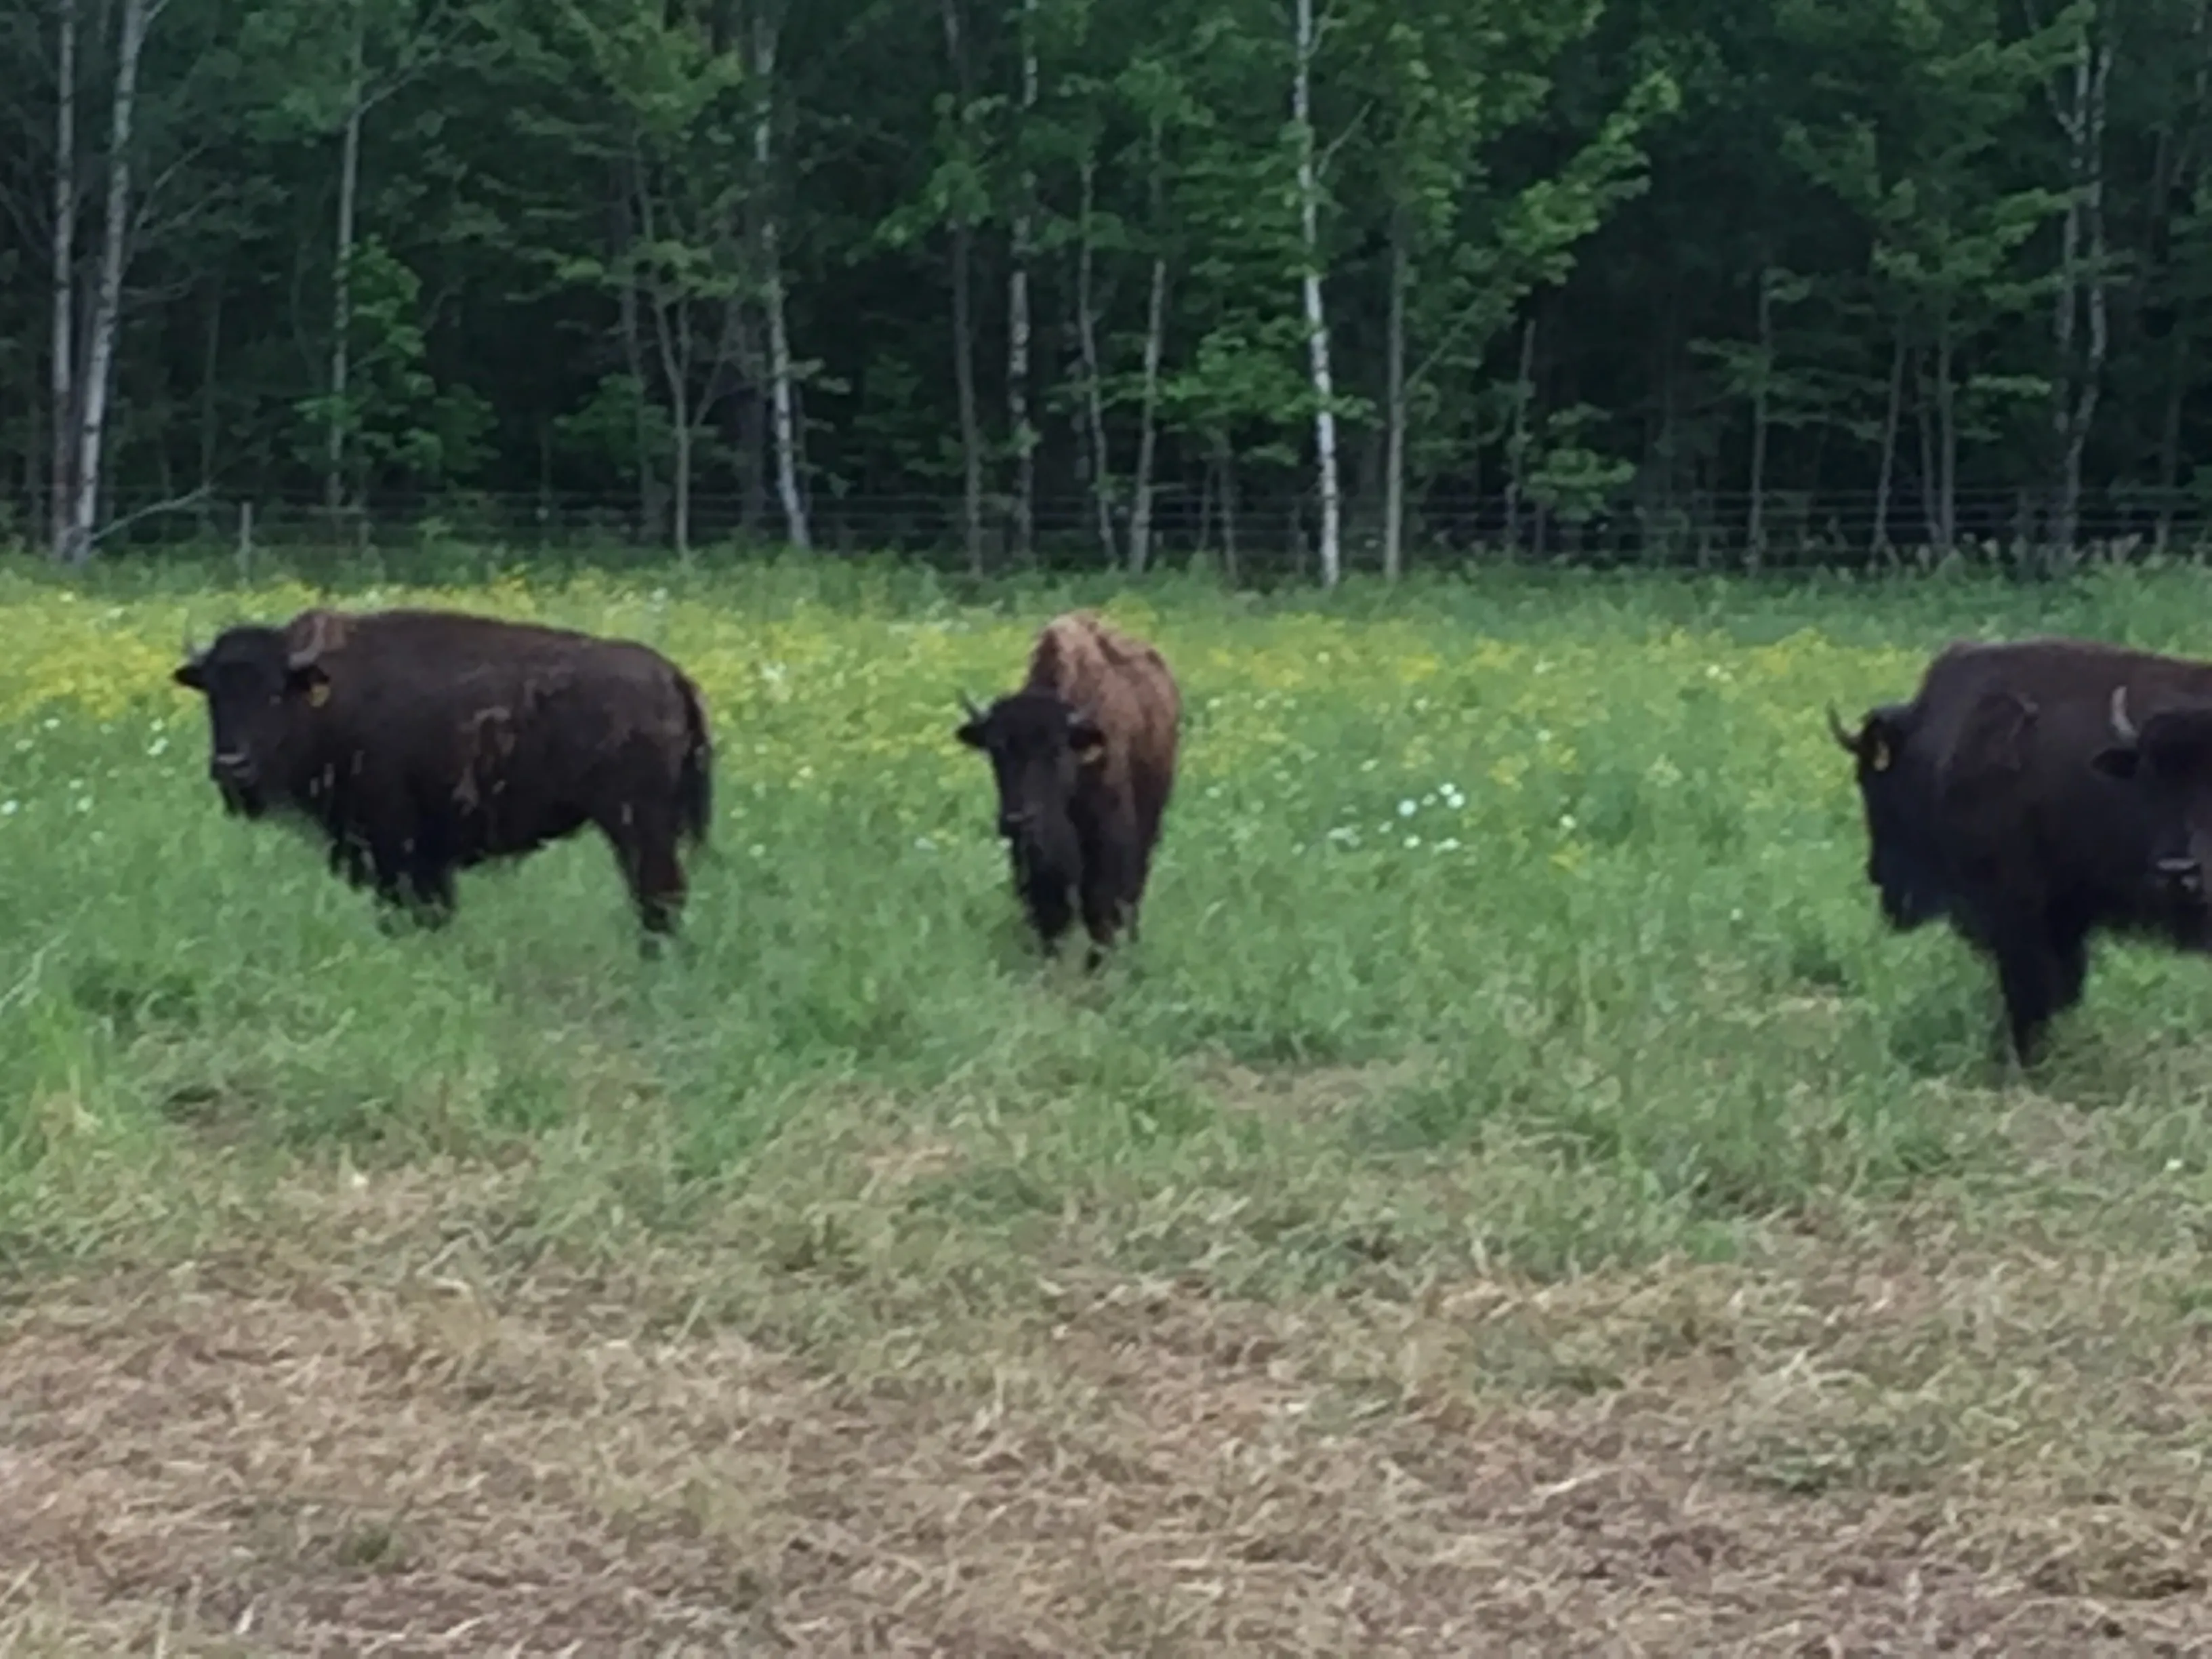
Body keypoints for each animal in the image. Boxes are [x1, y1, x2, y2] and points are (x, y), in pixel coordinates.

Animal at [173, 606, 713, 943]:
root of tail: (672, 676)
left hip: (637, 825)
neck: (326, 696)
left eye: (273, 693)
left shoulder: (397, 846)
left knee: (659, 893)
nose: (231, 766)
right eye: (213, 694)